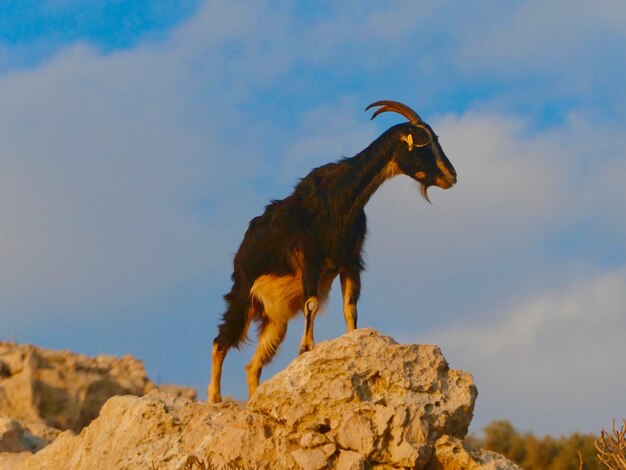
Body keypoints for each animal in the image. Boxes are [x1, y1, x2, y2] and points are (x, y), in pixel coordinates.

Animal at [207, 101, 456, 402]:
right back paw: (214, 398)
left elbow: (350, 308)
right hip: (244, 294)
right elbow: (312, 305)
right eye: (422, 144)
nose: (452, 176)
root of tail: (242, 251)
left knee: (252, 365)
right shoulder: (311, 262)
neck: (340, 197)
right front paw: (306, 348)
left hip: (275, 318)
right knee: (220, 341)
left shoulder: (350, 262)